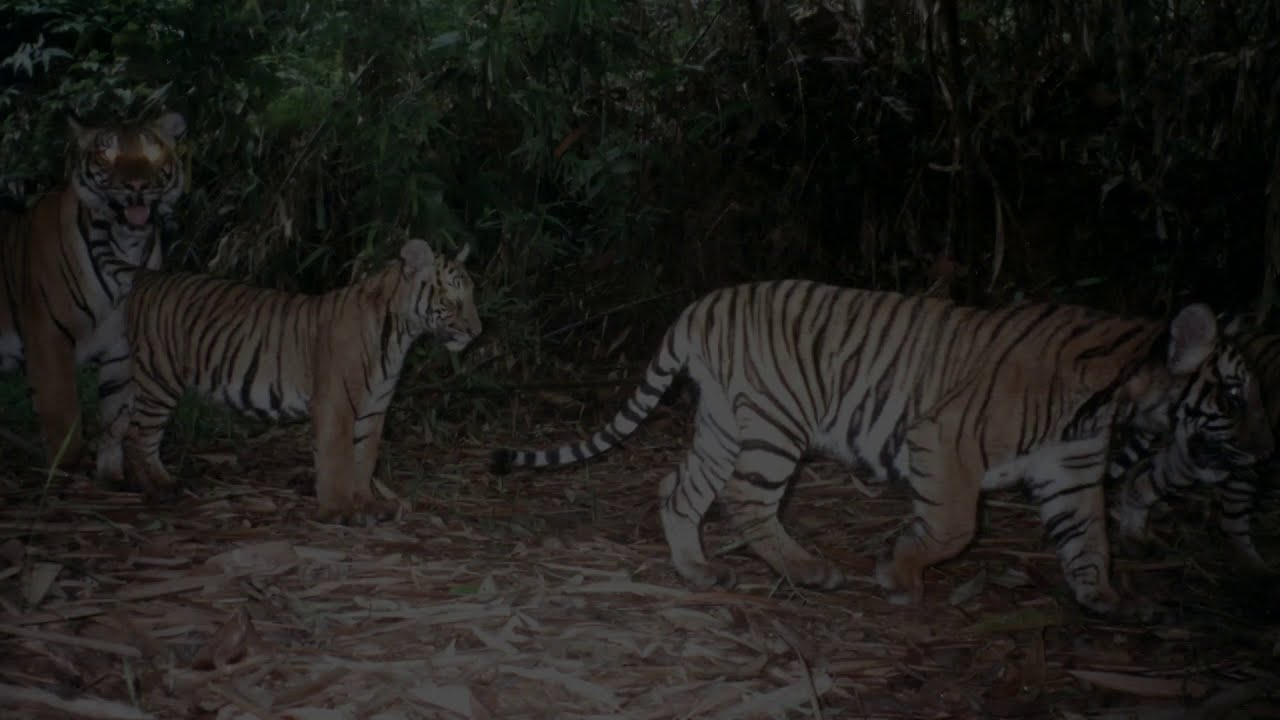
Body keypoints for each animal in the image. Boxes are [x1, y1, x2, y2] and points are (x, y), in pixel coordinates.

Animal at [0, 111, 186, 478]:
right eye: (108, 155)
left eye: (152, 153)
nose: (137, 186)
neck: (126, 243)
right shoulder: (49, 335)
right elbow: (62, 408)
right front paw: (68, 467)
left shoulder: (121, 346)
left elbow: (116, 416)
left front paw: (110, 474)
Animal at [107, 239, 481, 523]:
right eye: (451, 299)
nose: (477, 331)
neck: (400, 335)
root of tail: (149, 275)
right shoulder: (337, 405)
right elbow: (337, 458)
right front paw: (339, 511)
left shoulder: (373, 409)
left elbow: (364, 458)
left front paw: (368, 503)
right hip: (160, 378)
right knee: (140, 436)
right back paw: (160, 488)